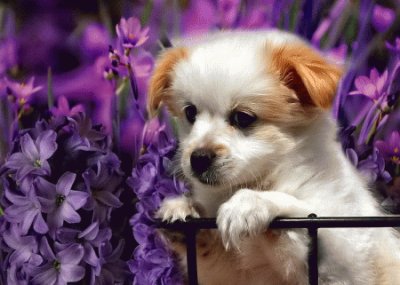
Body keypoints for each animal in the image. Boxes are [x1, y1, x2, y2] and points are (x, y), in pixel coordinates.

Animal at [147, 31, 400, 284]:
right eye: (190, 113)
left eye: (243, 117)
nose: (198, 158)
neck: (268, 177)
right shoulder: (228, 272)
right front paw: (183, 207)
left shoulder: (344, 258)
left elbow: (296, 212)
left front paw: (250, 203)